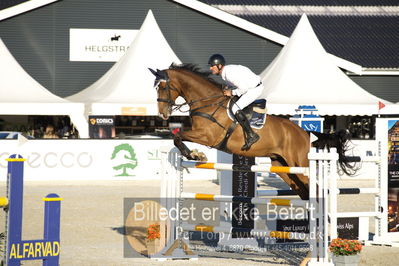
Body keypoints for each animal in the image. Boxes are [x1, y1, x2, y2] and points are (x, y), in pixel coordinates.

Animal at [150, 63, 356, 200]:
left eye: (162, 86)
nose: (162, 114)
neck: (208, 102)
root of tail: (305, 133)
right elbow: (177, 136)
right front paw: (194, 154)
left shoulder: (208, 136)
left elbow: (178, 136)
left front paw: (194, 154)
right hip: (283, 167)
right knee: (305, 193)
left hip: (299, 165)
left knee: (315, 190)